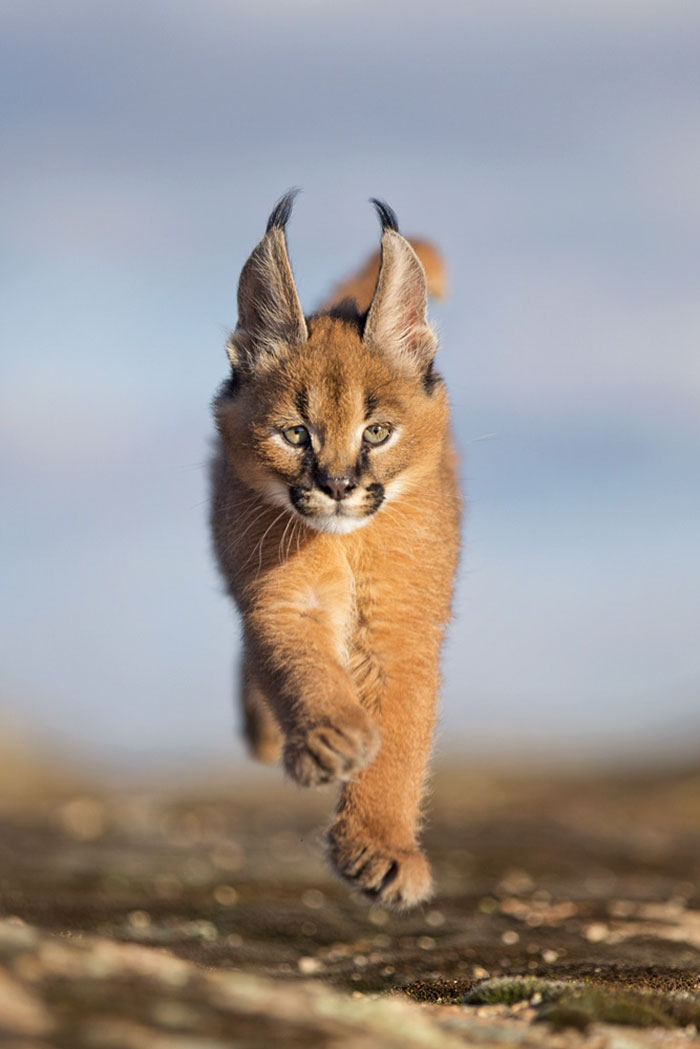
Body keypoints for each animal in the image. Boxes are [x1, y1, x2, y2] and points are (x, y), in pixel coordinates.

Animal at [210, 193, 461, 906]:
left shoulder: (402, 630)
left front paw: (381, 844)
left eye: (376, 432)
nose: (340, 485)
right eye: (295, 434)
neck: (347, 548)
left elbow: (400, 740)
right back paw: (270, 735)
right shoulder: (279, 598)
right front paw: (327, 735)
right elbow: (296, 664)